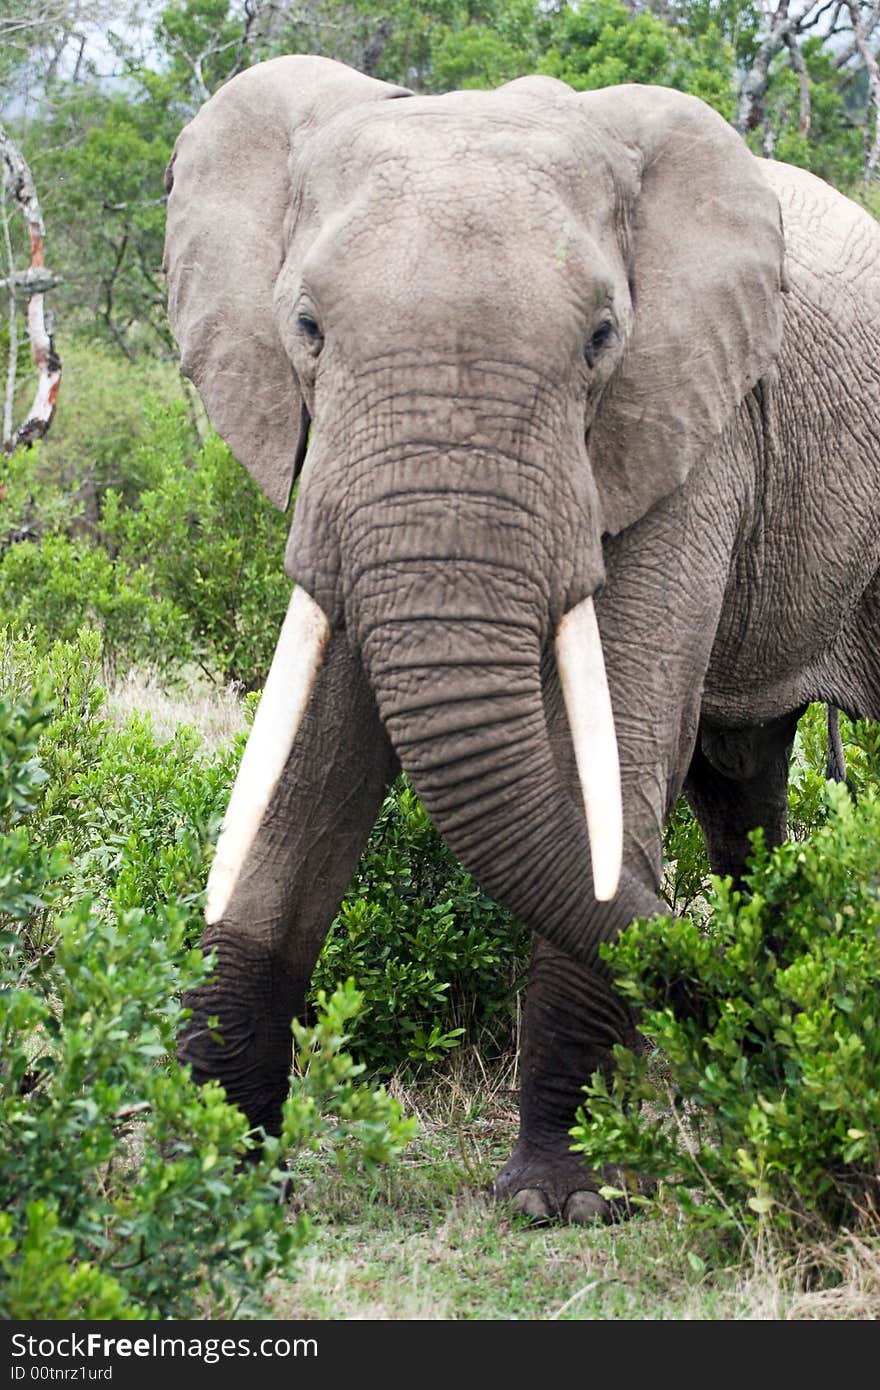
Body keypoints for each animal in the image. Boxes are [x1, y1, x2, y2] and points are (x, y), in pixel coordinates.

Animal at [163, 56, 878, 1228]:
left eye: (600, 339)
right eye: (306, 327)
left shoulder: (690, 429)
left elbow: (618, 752)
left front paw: (560, 1202)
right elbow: (307, 770)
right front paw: (216, 1179)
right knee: (741, 782)